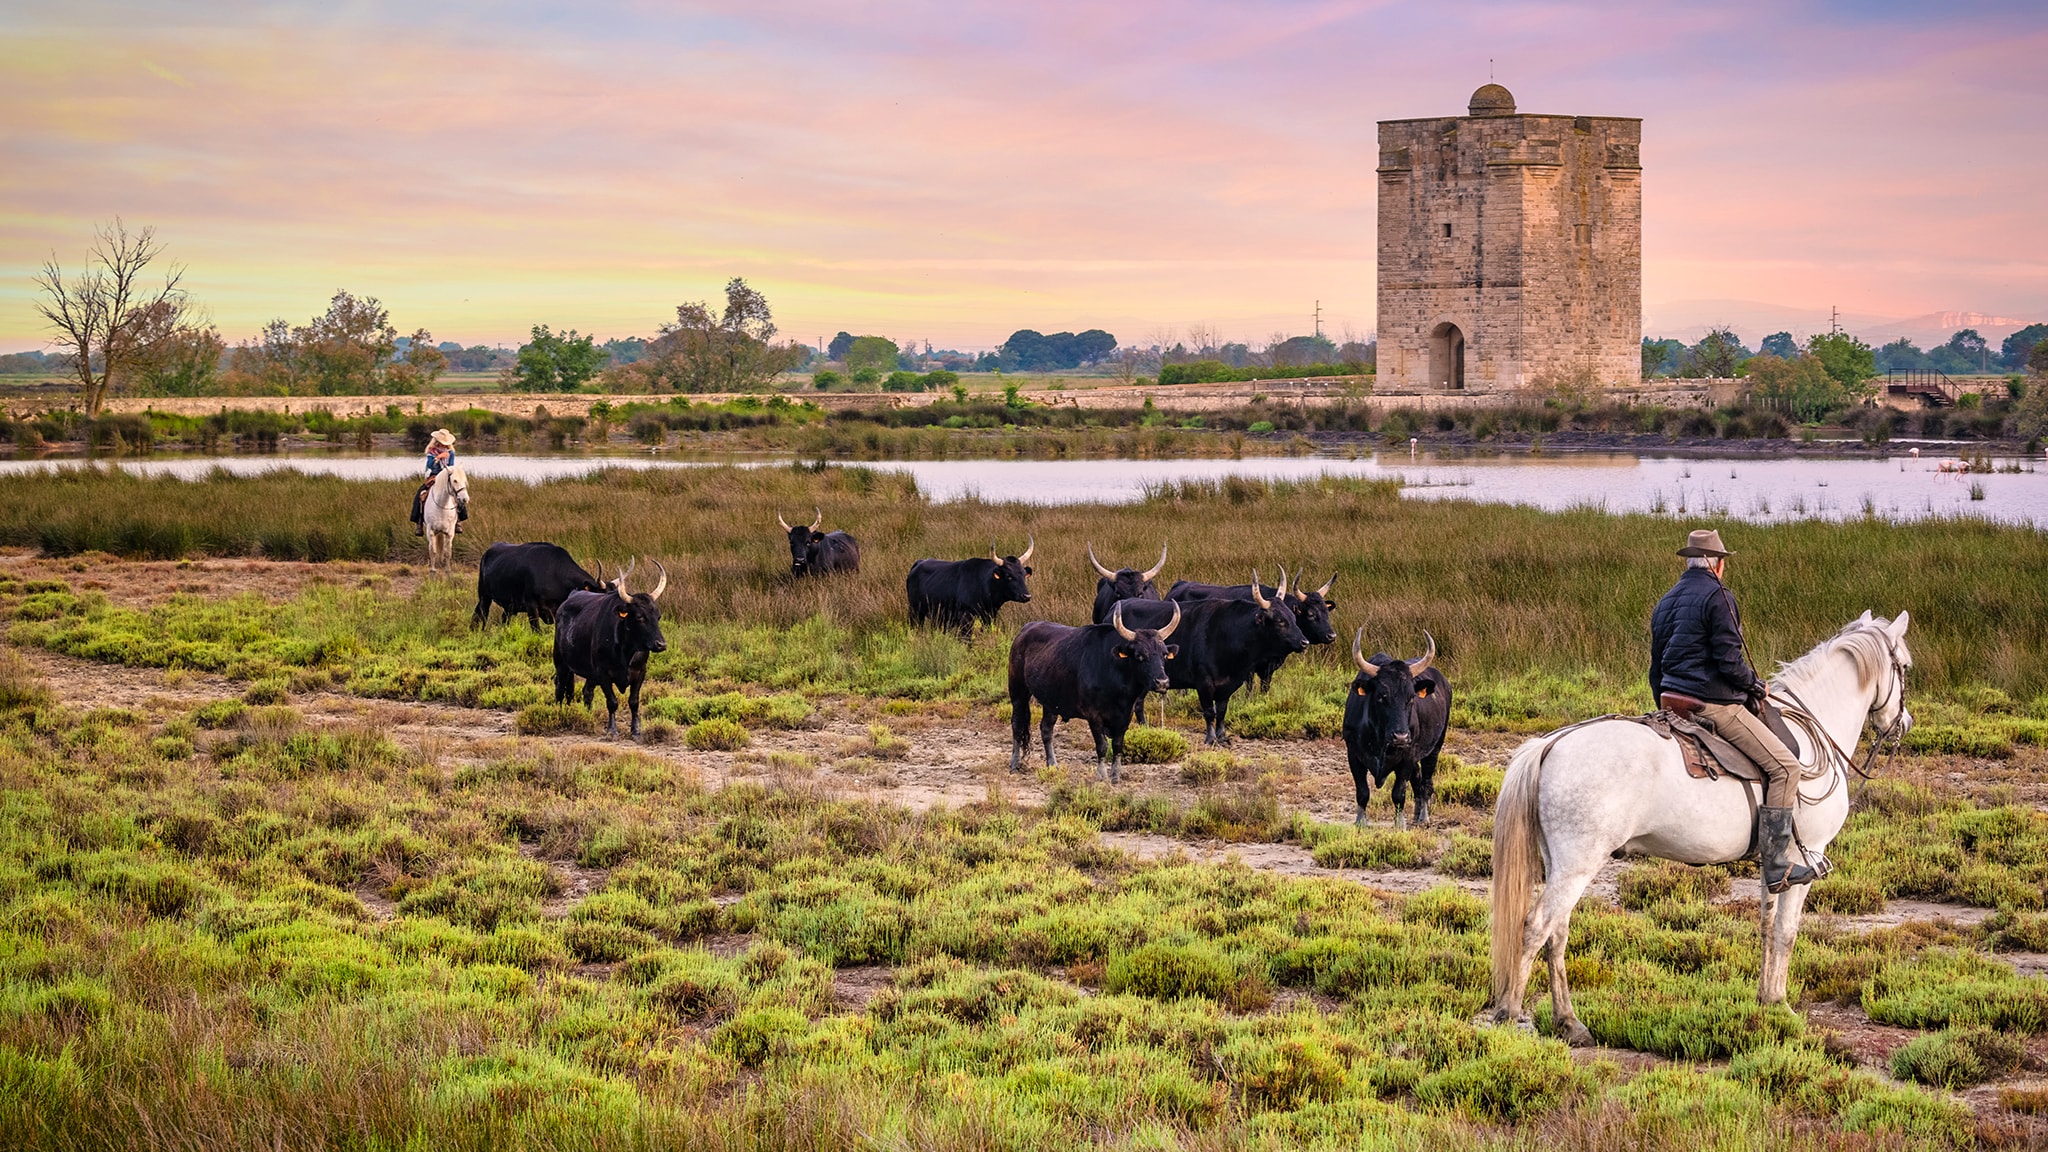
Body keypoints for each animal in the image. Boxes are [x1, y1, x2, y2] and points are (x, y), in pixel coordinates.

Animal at [1011, 594, 1187, 774]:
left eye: (1164, 654)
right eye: (1140, 656)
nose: (1162, 682)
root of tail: (1025, 630)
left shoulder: (1125, 716)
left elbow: (1117, 745)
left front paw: (1116, 773)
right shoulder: (1094, 716)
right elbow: (1102, 746)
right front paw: (1102, 773)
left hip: (1051, 703)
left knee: (1046, 729)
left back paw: (1052, 764)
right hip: (1018, 692)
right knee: (1017, 725)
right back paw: (1014, 763)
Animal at [1114, 586, 1302, 737]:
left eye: (1293, 617)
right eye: (1280, 621)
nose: (1304, 642)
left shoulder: (1232, 684)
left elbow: (1222, 711)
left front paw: (1221, 736)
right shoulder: (1203, 683)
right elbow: (1209, 712)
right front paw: (1211, 738)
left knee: (1138, 703)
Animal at [1343, 627, 1458, 824]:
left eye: (1411, 697)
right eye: (1381, 696)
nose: (1401, 737)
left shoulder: (1407, 757)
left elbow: (1398, 794)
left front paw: (1400, 824)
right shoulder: (1353, 754)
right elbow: (1363, 792)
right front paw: (1360, 822)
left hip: (1435, 747)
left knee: (1426, 782)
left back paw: (1423, 817)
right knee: (1418, 779)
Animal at [1482, 610, 1908, 1041]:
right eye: (1904, 667)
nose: (1903, 723)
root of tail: (1550, 744)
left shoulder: (1775, 865)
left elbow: (1766, 926)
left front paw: (1765, 999)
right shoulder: (1807, 856)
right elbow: (1786, 932)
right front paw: (1782, 1005)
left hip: (1560, 864)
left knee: (1558, 932)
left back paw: (1569, 1022)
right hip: (1577, 865)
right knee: (1535, 928)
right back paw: (1509, 1015)